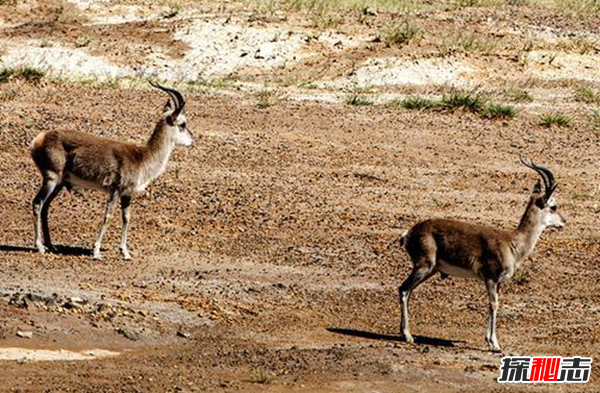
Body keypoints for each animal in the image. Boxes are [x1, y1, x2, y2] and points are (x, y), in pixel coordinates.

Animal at [29, 82, 191, 260]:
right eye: (182, 124)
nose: (192, 140)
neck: (143, 157)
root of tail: (39, 138)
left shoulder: (127, 194)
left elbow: (126, 218)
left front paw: (125, 252)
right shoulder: (114, 191)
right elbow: (108, 216)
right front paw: (96, 251)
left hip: (60, 183)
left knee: (45, 207)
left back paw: (51, 245)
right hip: (51, 179)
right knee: (37, 203)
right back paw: (40, 247)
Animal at [400, 158, 564, 350]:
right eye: (553, 207)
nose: (563, 222)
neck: (513, 243)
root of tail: (409, 233)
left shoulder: (498, 282)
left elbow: (494, 304)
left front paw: (491, 341)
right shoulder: (490, 279)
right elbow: (494, 305)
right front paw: (494, 344)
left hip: (430, 270)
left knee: (408, 291)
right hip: (423, 267)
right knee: (403, 289)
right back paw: (408, 336)